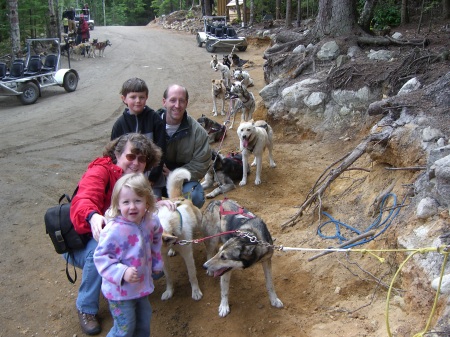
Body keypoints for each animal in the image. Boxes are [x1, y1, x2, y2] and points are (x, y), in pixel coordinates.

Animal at [156, 167, 202, 300]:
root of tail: (178, 197)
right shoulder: (163, 258)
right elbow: (168, 277)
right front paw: (169, 291)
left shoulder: (187, 254)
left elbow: (192, 275)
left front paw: (196, 291)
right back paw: (172, 250)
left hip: (199, 222)